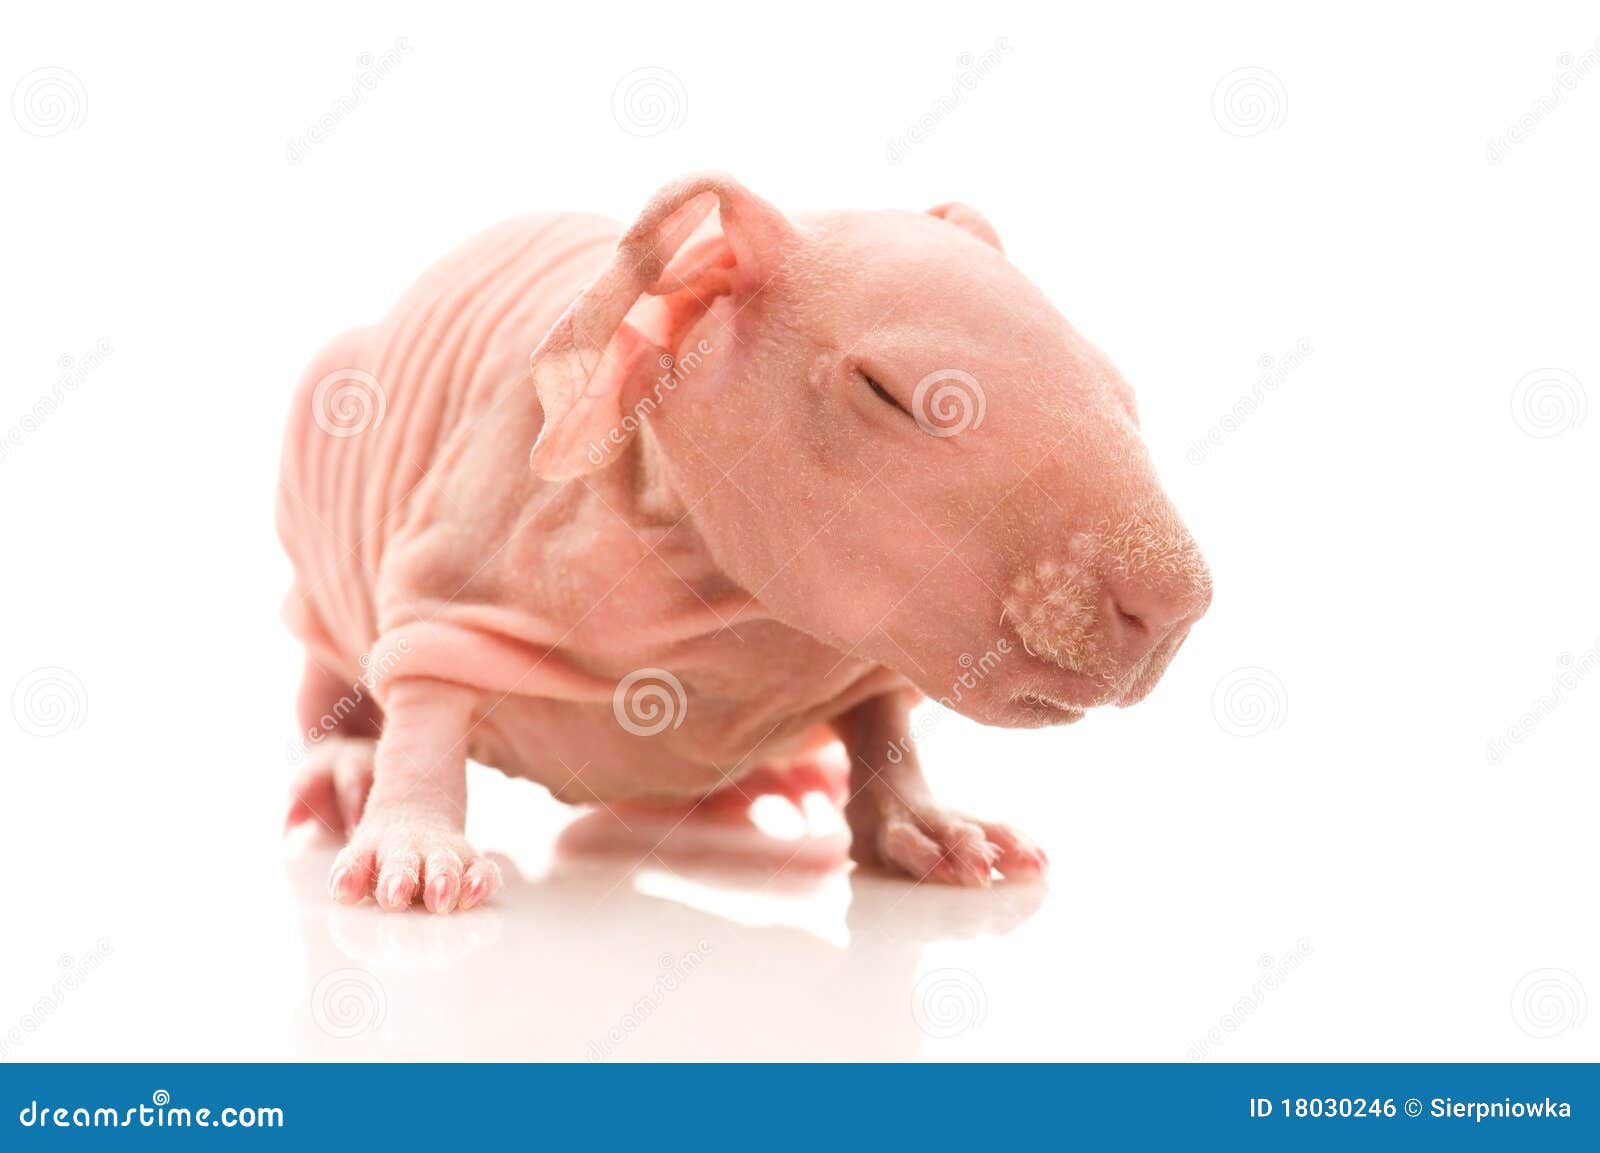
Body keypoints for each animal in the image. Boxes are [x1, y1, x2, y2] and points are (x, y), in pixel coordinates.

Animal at [279, 174, 1212, 914]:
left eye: (1120, 386)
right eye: (893, 394)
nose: (1175, 602)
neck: (744, 615)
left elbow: (880, 719)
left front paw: (929, 823)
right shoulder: (471, 541)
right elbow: (424, 685)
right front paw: (412, 845)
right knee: (327, 662)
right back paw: (342, 767)